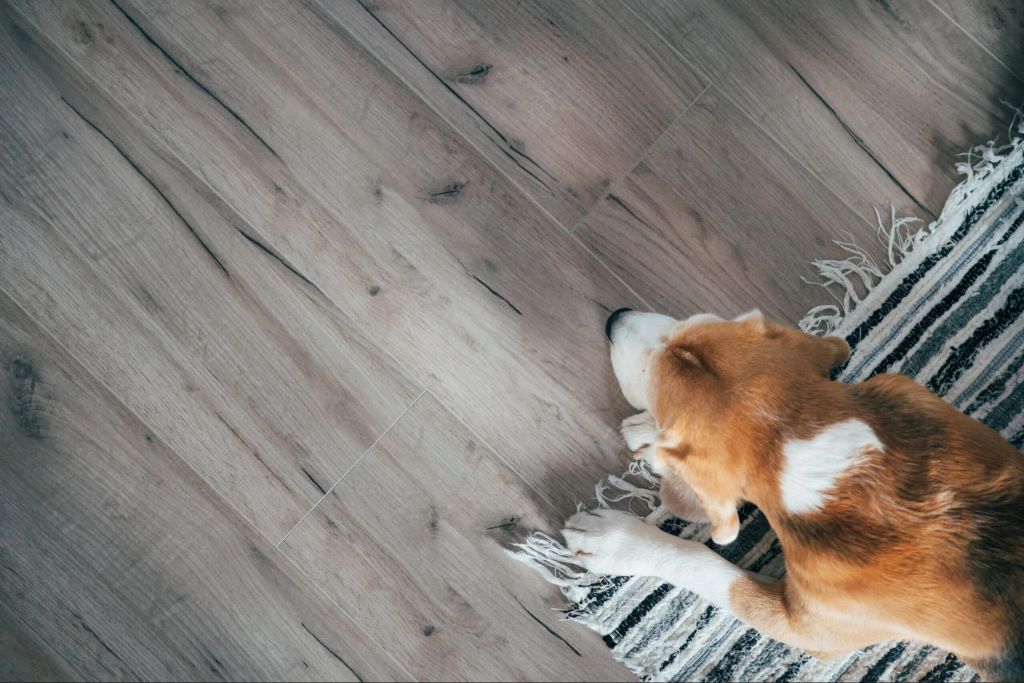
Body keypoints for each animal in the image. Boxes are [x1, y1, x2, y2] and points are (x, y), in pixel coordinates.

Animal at [565, 309, 1024, 679]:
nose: (614, 319)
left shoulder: (806, 630)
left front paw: (615, 542)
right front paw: (649, 438)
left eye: (647, 374)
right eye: (687, 321)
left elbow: (703, 562)